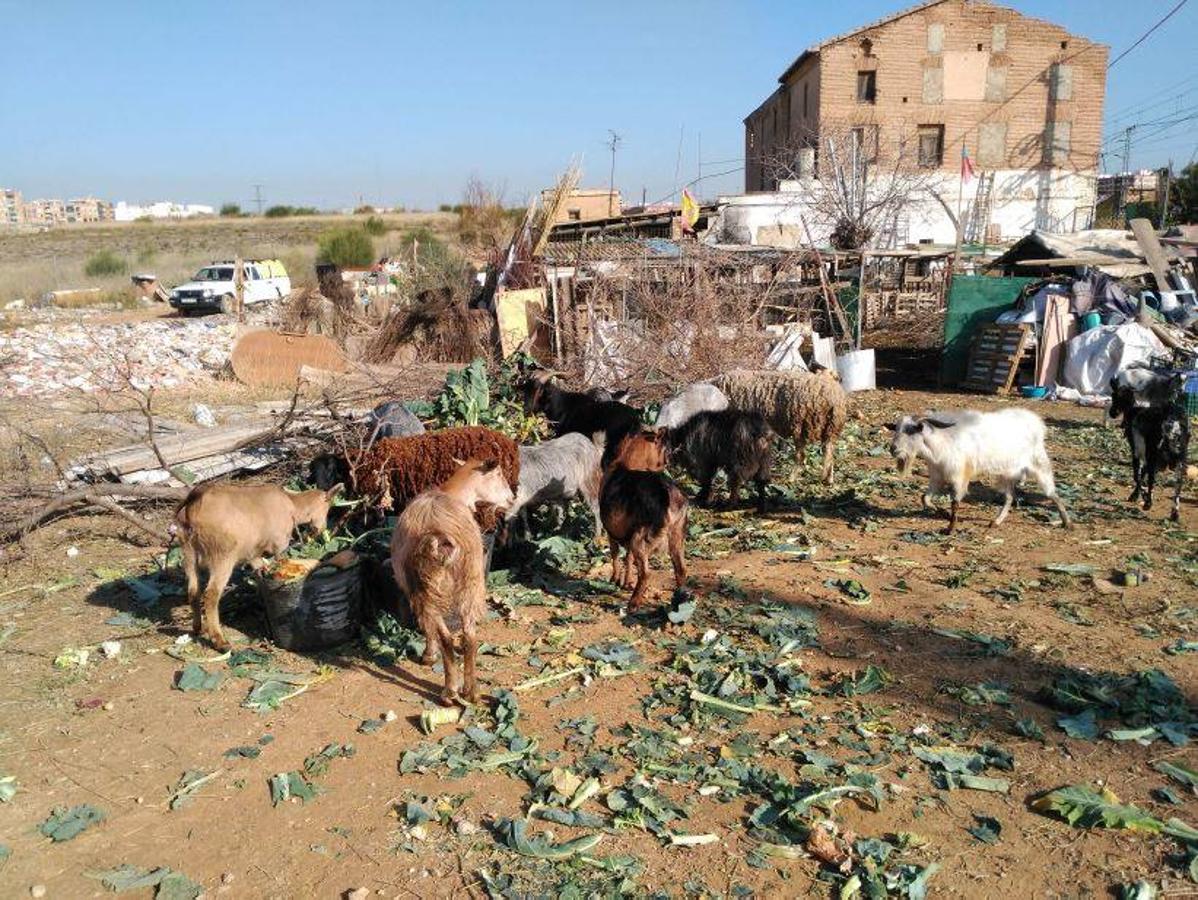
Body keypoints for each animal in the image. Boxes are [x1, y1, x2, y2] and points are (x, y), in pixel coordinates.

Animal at [168, 481, 340, 651]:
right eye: (327, 507)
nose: (321, 529)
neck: (292, 503)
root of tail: (194, 503)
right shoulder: (278, 546)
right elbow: (280, 566)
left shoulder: (253, 553)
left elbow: (260, 572)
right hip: (222, 556)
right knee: (211, 594)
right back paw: (220, 641)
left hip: (188, 552)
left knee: (193, 590)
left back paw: (198, 628)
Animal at [385, 460, 512, 709]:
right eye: (500, 474)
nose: (512, 498)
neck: (451, 492)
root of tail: (439, 536)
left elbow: (427, 627)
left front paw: (428, 655)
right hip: (471, 579)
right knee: (470, 636)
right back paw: (471, 692)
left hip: (427, 587)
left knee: (445, 636)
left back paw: (449, 692)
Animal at [596, 433, 685, 608]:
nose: (670, 461)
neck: (626, 462)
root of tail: (667, 496)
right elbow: (628, 558)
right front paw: (626, 582)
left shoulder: (611, 533)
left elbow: (615, 554)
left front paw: (615, 579)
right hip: (675, 538)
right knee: (680, 570)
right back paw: (681, 599)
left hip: (640, 540)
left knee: (646, 574)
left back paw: (634, 603)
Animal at [714, 366, 848, 486]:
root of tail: (833, 395)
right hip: (831, 427)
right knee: (829, 452)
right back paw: (829, 479)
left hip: (801, 425)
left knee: (802, 456)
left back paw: (792, 478)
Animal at [886, 409, 1073, 534]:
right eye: (896, 429)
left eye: (911, 430)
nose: (893, 449)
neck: (941, 442)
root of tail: (1036, 423)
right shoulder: (937, 476)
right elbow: (924, 498)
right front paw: (943, 513)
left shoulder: (959, 476)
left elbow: (955, 503)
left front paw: (950, 529)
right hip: (1007, 473)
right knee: (1010, 497)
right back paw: (996, 522)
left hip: (1039, 466)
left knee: (1052, 494)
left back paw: (1067, 523)